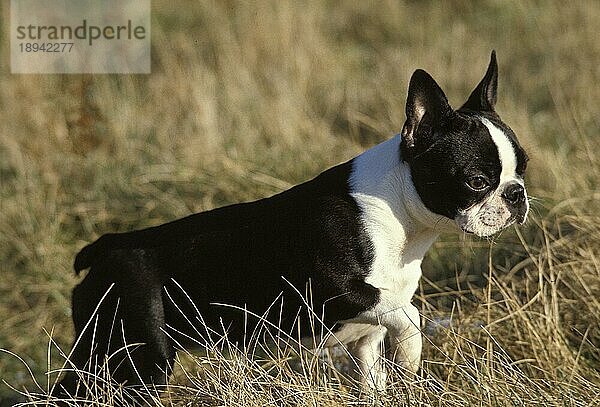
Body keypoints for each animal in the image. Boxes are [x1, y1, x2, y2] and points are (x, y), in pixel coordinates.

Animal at [55, 51, 524, 396]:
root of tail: (106, 249)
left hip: (106, 354)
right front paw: (411, 354)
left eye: (523, 168)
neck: (402, 216)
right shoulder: (332, 290)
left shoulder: (367, 338)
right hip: (137, 358)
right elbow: (408, 314)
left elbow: (376, 369)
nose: (517, 194)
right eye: (477, 181)